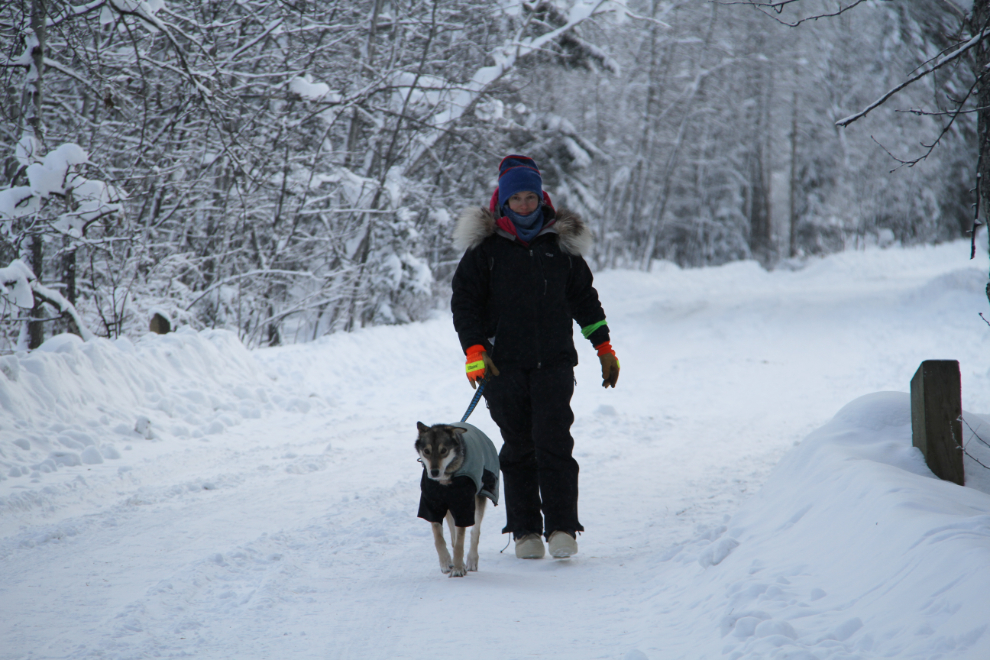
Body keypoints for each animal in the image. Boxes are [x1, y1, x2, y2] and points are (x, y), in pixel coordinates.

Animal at [414, 422, 500, 576]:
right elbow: (439, 539)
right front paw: (446, 562)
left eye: (444, 450)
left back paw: (471, 560)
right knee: (453, 535)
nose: (434, 472)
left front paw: (458, 569)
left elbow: (460, 542)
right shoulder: (432, 504)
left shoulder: (463, 506)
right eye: (426, 451)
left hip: (479, 497)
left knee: (475, 531)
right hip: (449, 509)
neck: (445, 480)